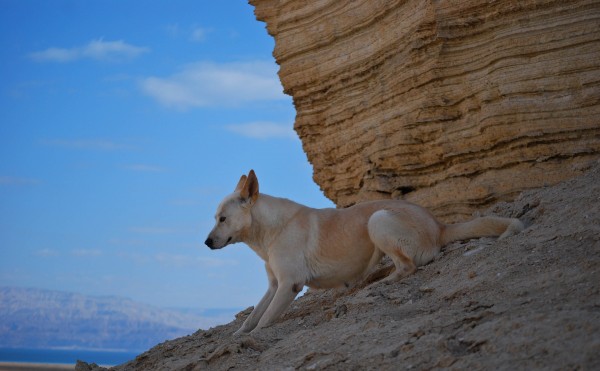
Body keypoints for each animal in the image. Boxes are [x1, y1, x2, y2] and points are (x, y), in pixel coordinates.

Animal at [204, 170, 524, 336]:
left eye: (222, 219)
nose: (206, 243)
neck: (269, 230)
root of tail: (440, 226)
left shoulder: (289, 285)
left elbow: (264, 320)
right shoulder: (273, 285)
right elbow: (252, 317)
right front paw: (237, 337)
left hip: (378, 220)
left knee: (408, 267)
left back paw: (379, 283)